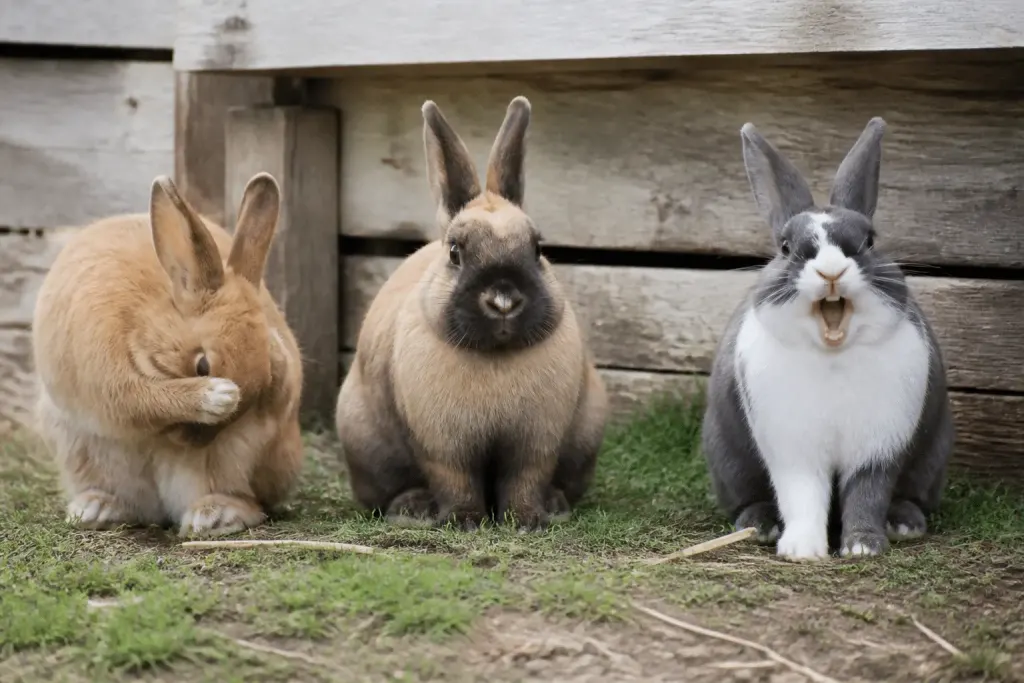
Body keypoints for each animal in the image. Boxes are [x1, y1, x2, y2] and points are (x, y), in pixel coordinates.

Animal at [31, 172, 304, 538]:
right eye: (202, 365)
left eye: (264, 379)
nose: (190, 442)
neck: (148, 315)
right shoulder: (108, 375)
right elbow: (141, 398)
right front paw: (216, 395)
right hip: (78, 447)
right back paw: (96, 509)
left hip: (239, 463)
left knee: (250, 502)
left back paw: (216, 515)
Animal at [336, 96, 608, 531]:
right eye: (454, 253)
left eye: (537, 248)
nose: (503, 299)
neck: (495, 358)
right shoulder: (444, 448)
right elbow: (456, 480)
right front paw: (465, 522)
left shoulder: (536, 445)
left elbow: (524, 480)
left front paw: (527, 521)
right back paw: (411, 508)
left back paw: (555, 504)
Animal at [701, 117, 954, 561]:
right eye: (786, 247)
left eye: (869, 240)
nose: (831, 271)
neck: (833, 354)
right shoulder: (792, 449)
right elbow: (802, 495)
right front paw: (802, 549)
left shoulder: (880, 444)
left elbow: (868, 493)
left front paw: (863, 547)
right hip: (726, 458)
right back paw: (760, 525)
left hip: (932, 459)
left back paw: (905, 523)